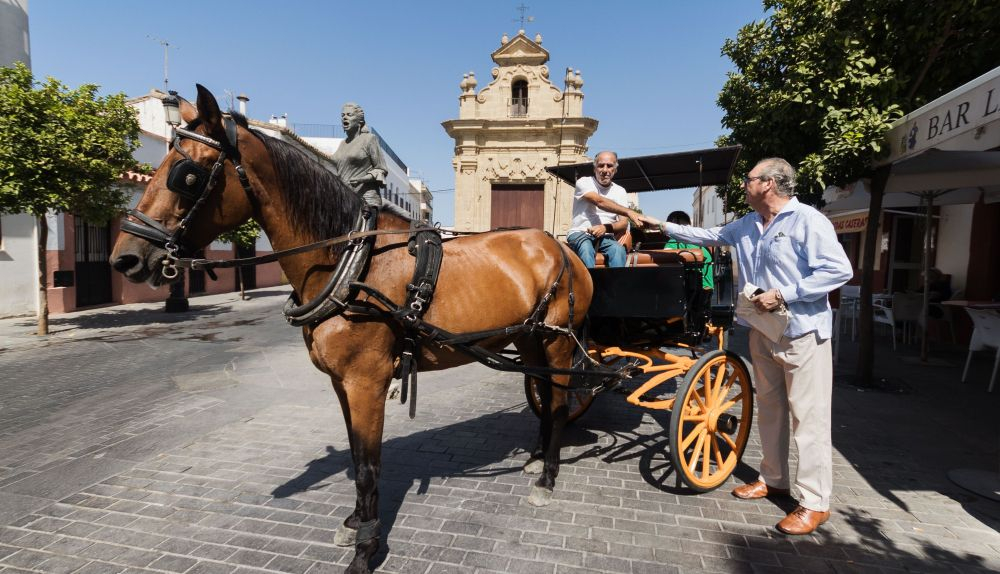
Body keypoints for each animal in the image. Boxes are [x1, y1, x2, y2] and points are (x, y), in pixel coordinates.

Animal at [110, 85, 593, 574]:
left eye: (187, 176)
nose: (126, 257)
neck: (349, 264)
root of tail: (559, 247)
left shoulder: (366, 382)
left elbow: (368, 464)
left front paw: (365, 548)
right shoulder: (343, 383)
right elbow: (357, 451)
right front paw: (356, 522)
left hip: (556, 342)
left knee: (557, 401)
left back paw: (547, 477)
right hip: (528, 339)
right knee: (542, 391)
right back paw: (536, 459)